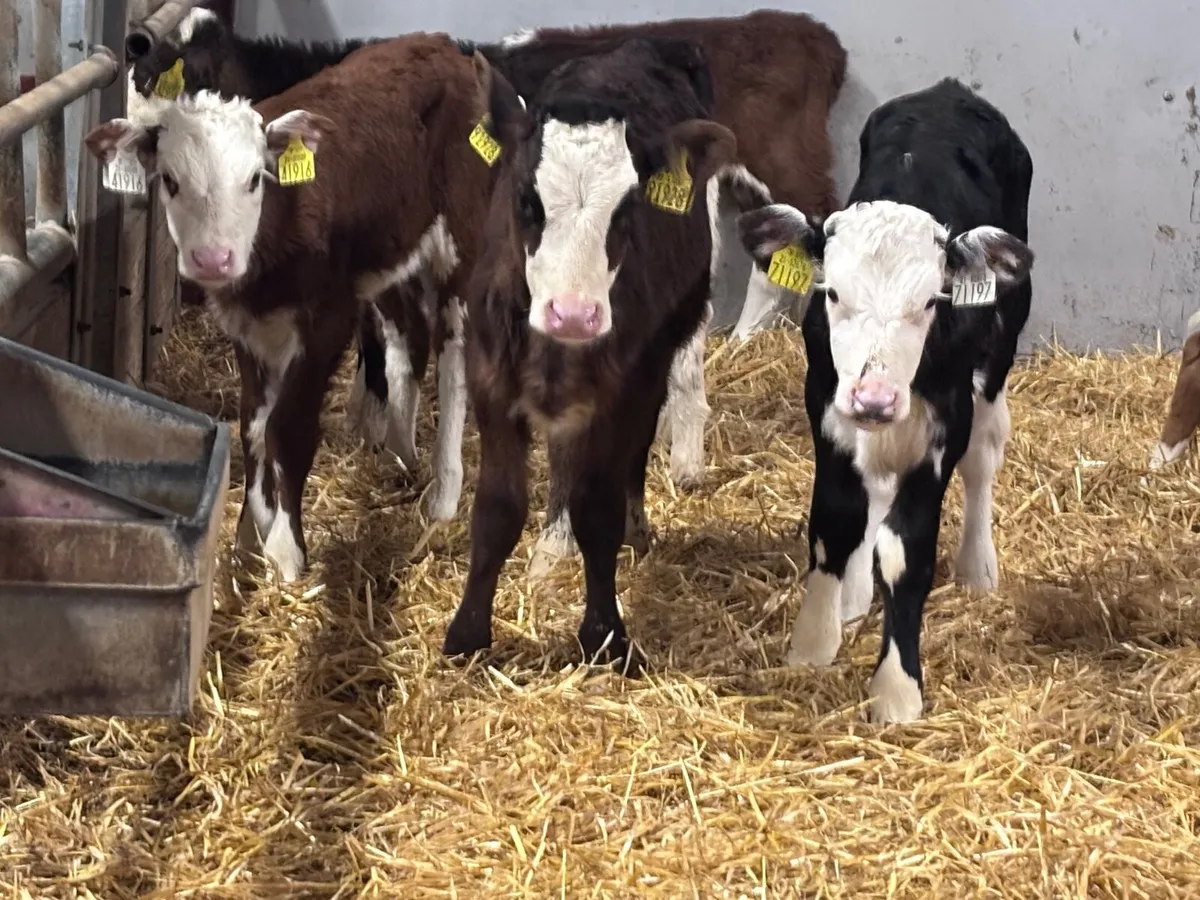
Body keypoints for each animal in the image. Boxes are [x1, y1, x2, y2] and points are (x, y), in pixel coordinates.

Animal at [85, 34, 501, 581]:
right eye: (170, 181)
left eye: (254, 180)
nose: (212, 259)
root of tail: (441, 44)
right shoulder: (248, 327)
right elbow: (253, 427)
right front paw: (249, 533)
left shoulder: (327, 321)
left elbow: (288, 428)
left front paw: (286, 549)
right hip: (388, 253)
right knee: (407, 338)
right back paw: (398, 453)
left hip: (461, 232)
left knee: (452, 351)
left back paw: (444, 492)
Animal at [441, 36, 755, 671]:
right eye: (526, 200)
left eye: (627, 211)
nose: (574, 313)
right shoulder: (491, 381)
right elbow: (497, 510)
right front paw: (468, 632)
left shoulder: (624, 389)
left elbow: (599, 510)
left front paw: (605, 634)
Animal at [736, 78, 1036, 723]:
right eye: (831, 293)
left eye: (930, 301)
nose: (874, 397)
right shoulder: (826, 404)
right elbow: (834, 521)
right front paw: (815, 639)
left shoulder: (943, 428)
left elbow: (907, 550)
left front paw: (896, 689)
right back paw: (853, 595)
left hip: (997, 358)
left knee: (984, 458)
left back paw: (977, 565)